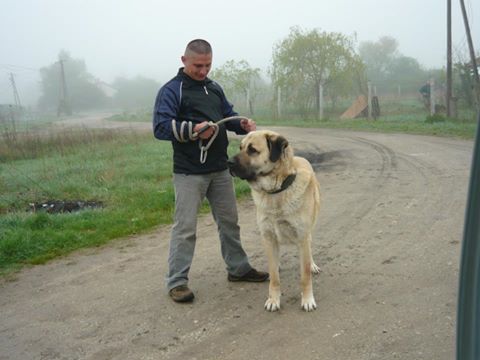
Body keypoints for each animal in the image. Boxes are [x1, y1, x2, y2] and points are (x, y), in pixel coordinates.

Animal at [228, 130, 320, 312]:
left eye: (252, 150)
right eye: (240, 147)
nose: (227, 163)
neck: (277, 190)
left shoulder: (302, 236)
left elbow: (304, 276)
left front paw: (307, 299)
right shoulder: (269, 238)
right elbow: (274, 278)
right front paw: (273, 299)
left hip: (307, 233)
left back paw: (312, 265)